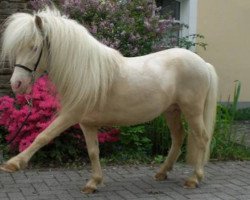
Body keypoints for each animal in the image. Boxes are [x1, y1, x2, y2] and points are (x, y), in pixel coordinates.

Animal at [0, 7, 218, 194]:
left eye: (34, 47)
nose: (16, 84)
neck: (85, 71)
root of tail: (203, 64)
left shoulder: (70, 115)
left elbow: (43, 136)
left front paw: (13, 163)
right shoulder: (86, 123)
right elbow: (93, 151)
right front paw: (93, 182)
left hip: (192, 110)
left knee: (202, 138)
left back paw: (194, 178)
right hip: (172, 110)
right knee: (178, 137)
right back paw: (162, 172)